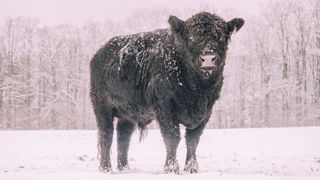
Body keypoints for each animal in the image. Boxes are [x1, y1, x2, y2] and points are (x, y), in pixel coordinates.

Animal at [90, 11, 245, 174]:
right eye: (191, 37)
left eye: (221, 36)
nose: (208, 58)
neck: (198, 90)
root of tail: (99, 53)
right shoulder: (165, 109)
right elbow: (172, 137)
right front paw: (171, 168)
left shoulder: (206, 112)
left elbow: (193, 140)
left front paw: (191, 168)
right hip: (102, 108)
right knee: (106, 135)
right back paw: (106, 168)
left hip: (128, 114)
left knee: (123, 137)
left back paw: (124, 168)